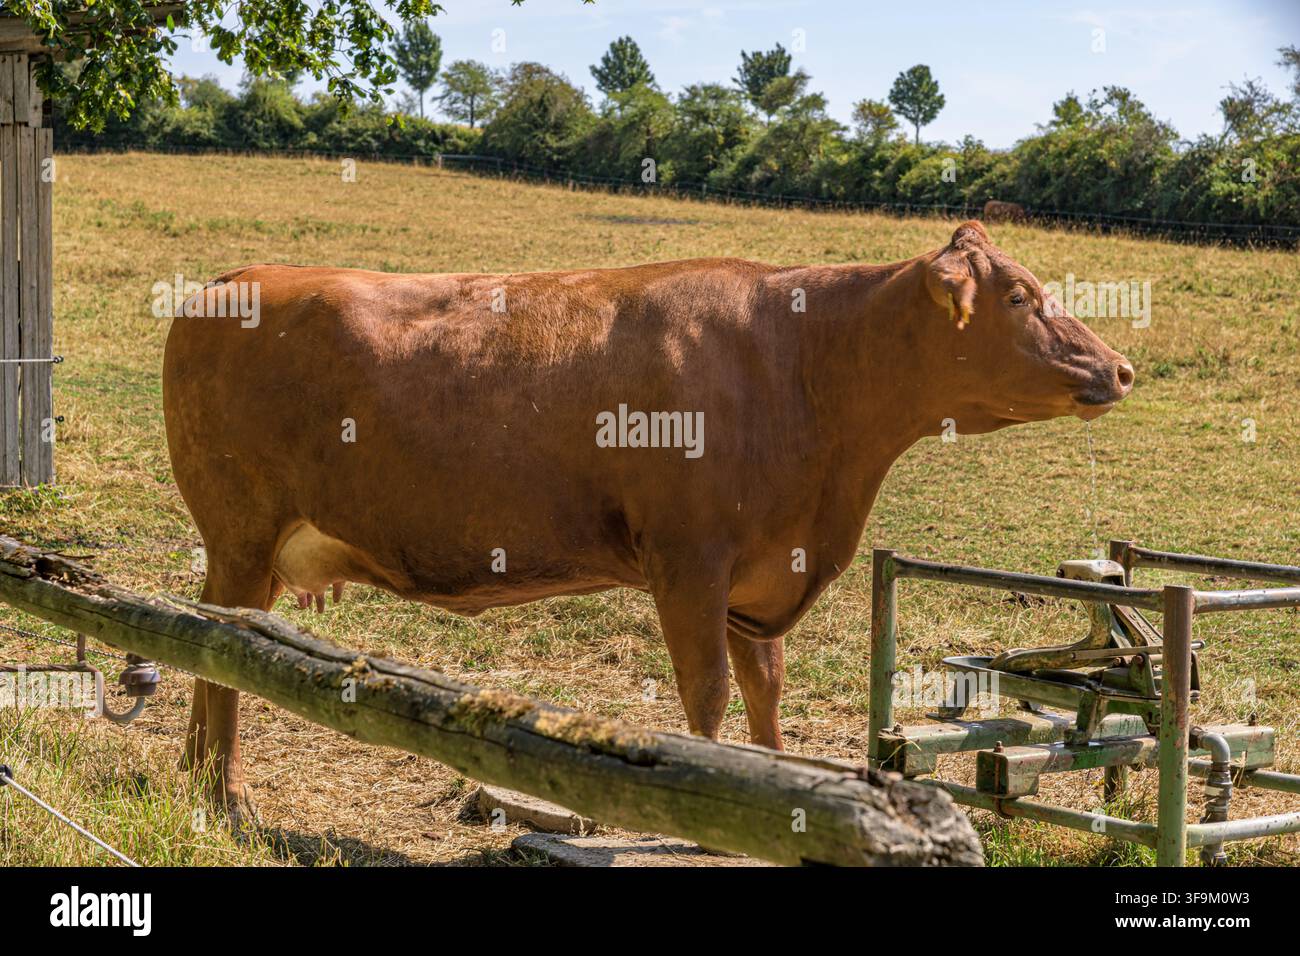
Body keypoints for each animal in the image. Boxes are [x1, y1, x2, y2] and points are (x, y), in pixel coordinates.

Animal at [163, 220, 1133, 816]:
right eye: (1020, 297)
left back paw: (192, 775)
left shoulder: (757, 572)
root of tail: (235, 279)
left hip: (248, 549)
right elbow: (707, 694)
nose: (1120, 368)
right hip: (242, 532)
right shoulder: (688, 559)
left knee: (212, 635)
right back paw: (223, 794)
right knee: (219, 644)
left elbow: (765, 686)